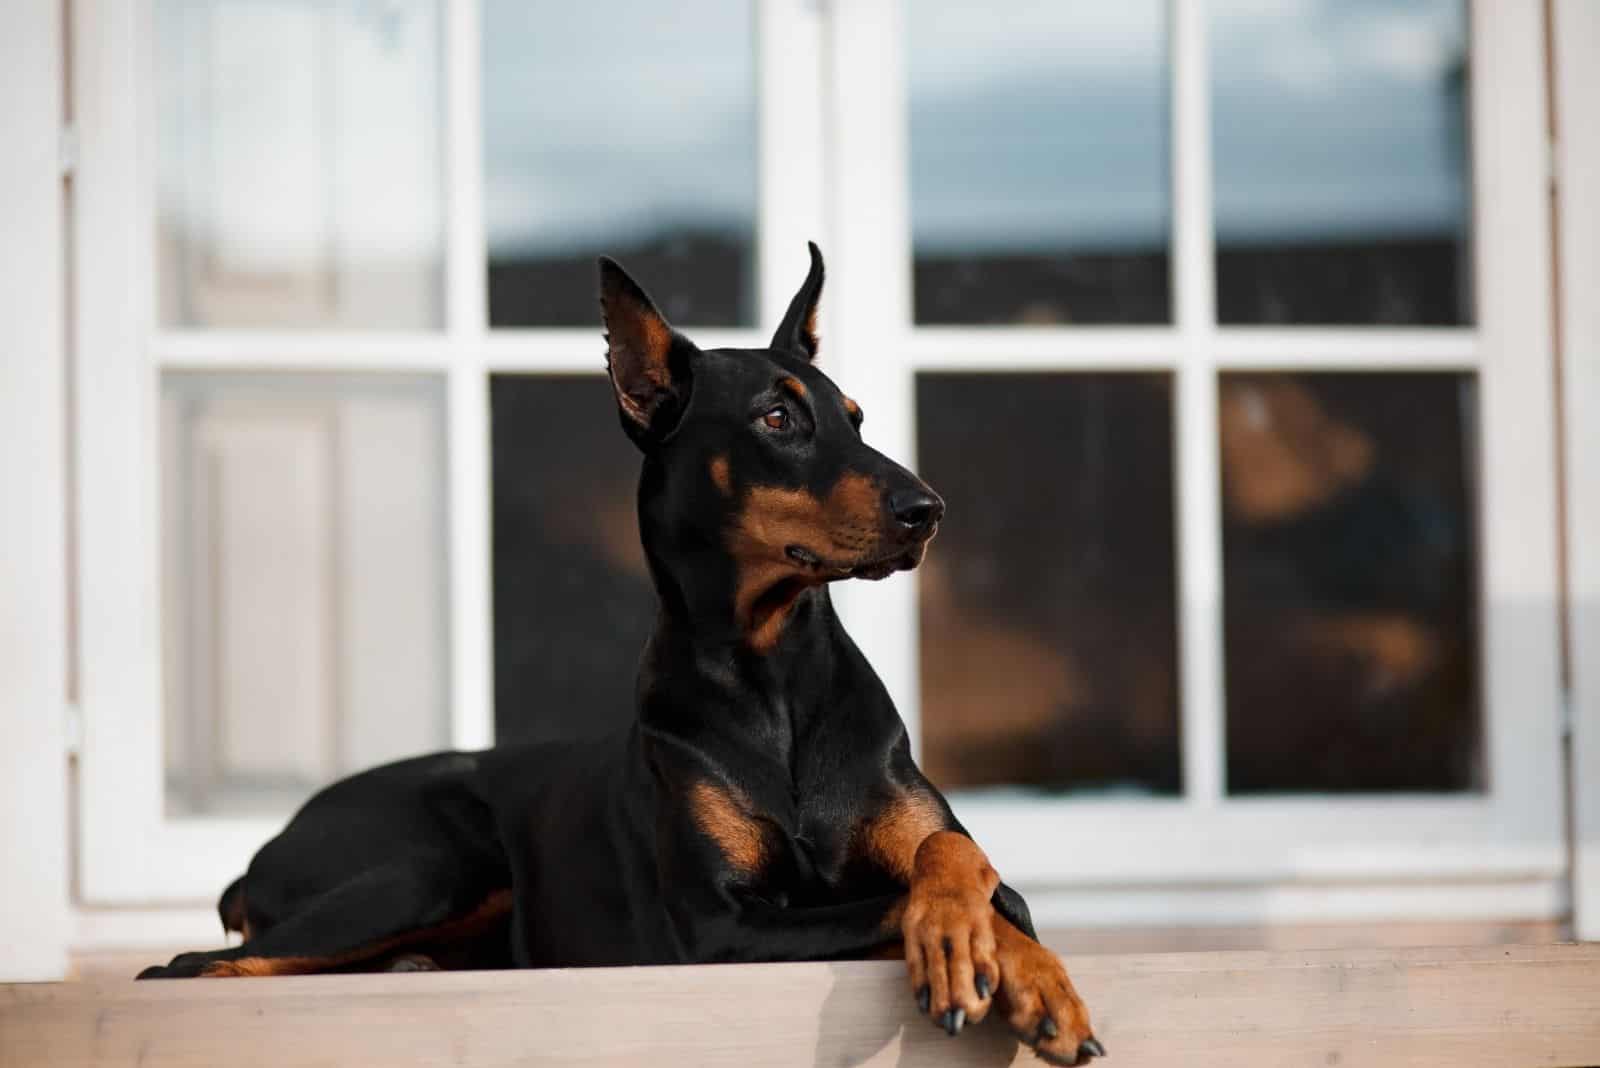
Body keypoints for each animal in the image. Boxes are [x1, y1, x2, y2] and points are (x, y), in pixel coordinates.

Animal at [144, 244, 1100, 1068]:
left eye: (858, 419)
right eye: (779, 417)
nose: (926, 510)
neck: (773, 672)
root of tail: (266, 848)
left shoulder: (939, 847)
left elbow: (967, 868)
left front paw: (1026, 979)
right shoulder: (718, 930)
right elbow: (898, 898)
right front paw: (964, 953)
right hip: (431, 865)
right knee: (191, 967)